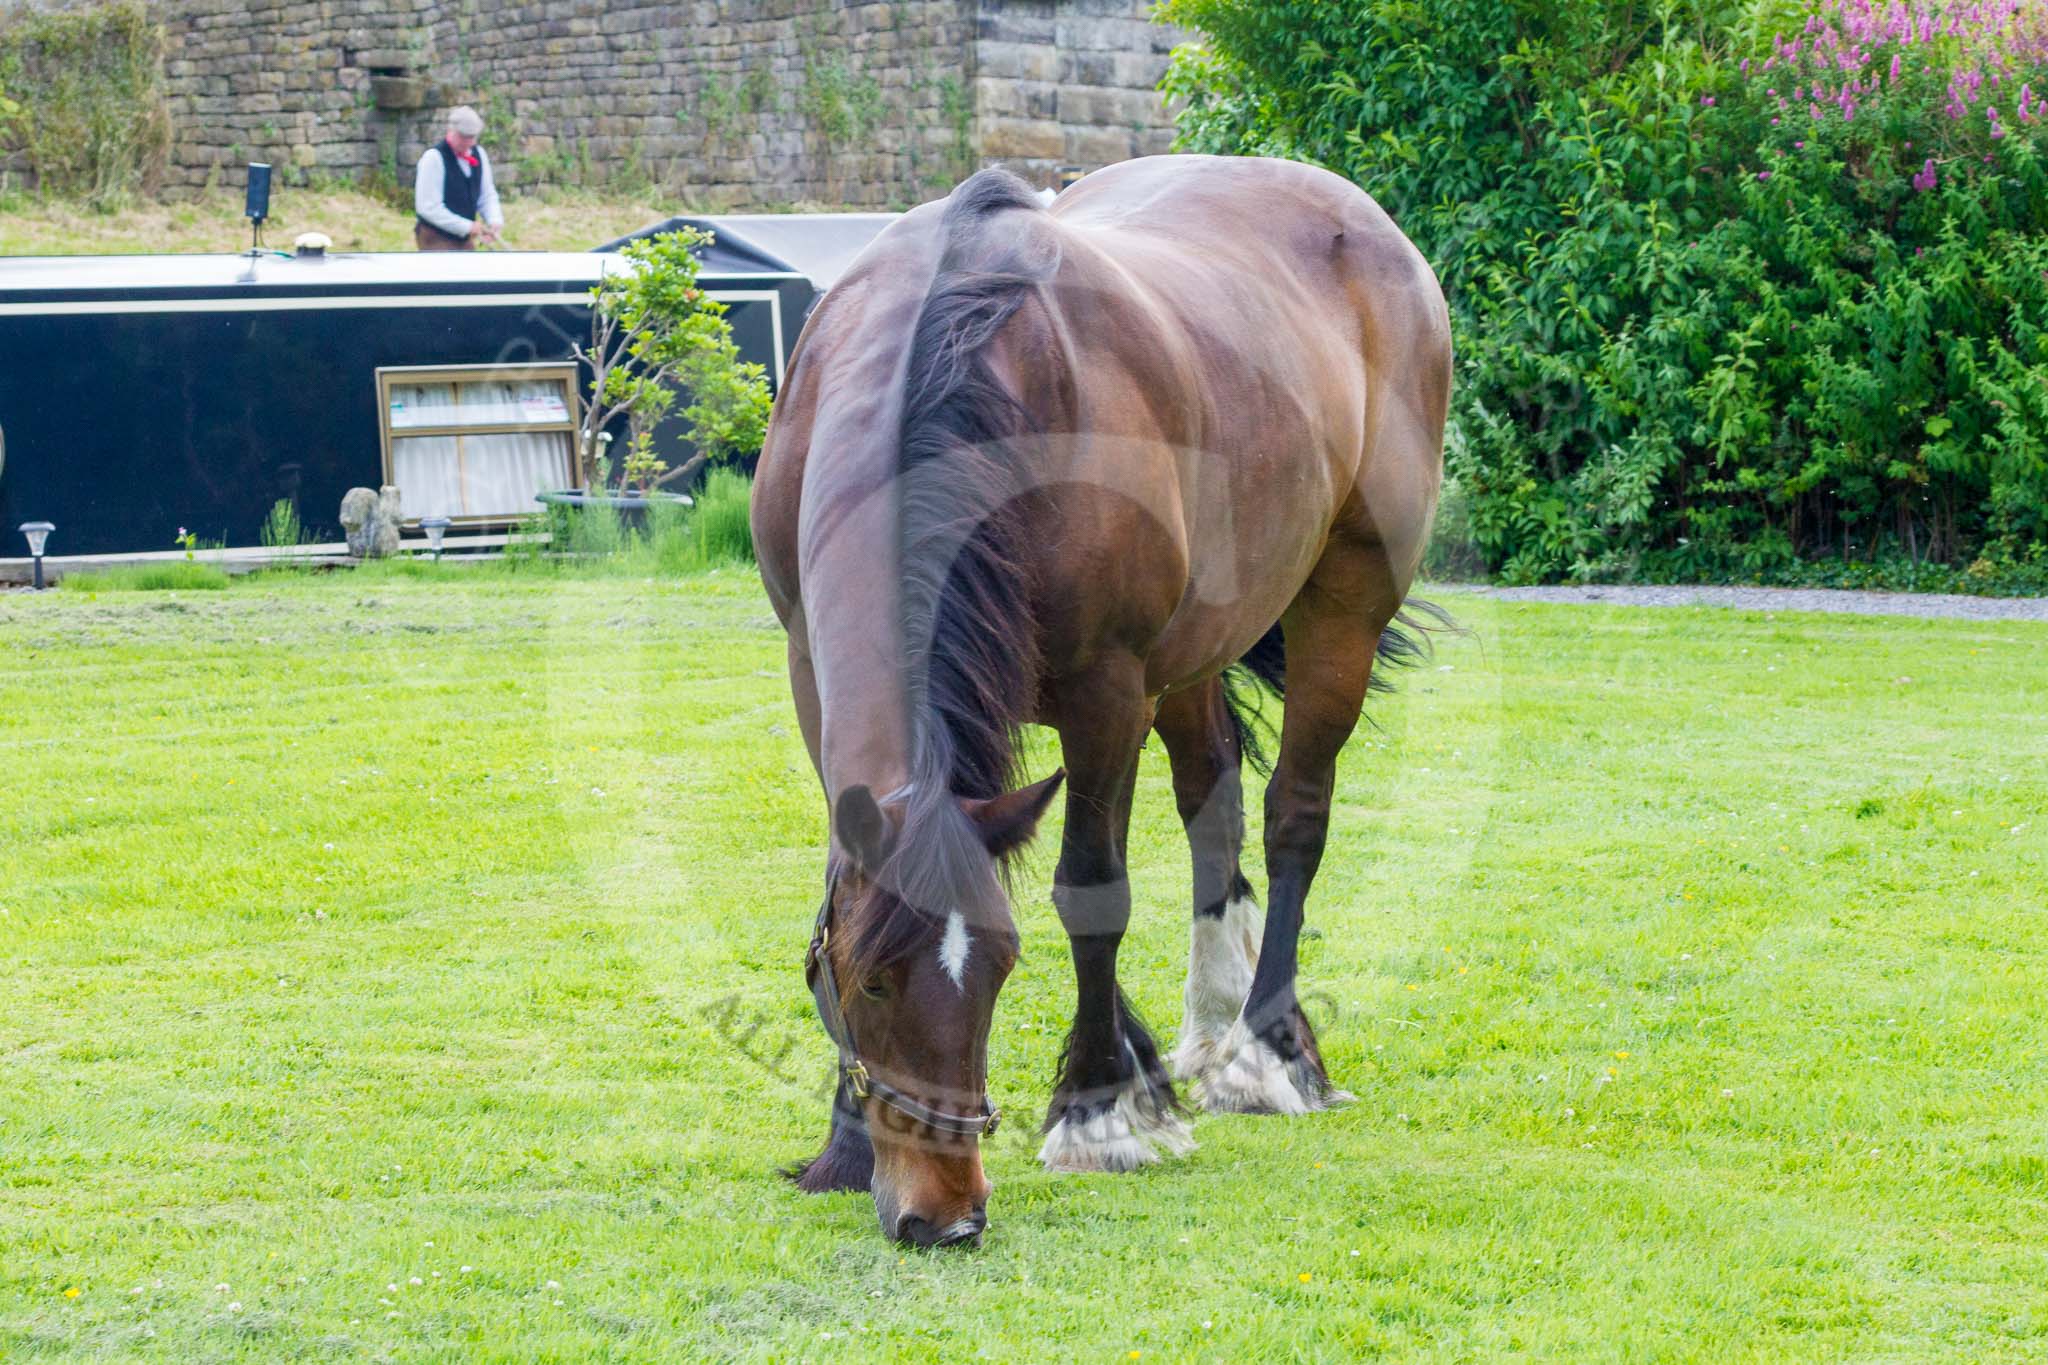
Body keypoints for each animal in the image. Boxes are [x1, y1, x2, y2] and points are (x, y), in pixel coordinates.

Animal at [757, 154, 1458, 1244]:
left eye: (1003, 967)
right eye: (869, 980)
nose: (945, 1214)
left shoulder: (1105, 693)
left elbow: (1091, 893)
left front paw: (1095, 1110)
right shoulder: (807, 672)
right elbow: (842, 888)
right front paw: (843, 1142)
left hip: (1342, 601)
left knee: (1292, 818)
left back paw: (1264, 1052)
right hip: (1196, 646)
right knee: (1212, 798)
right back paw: (1210, 1028)